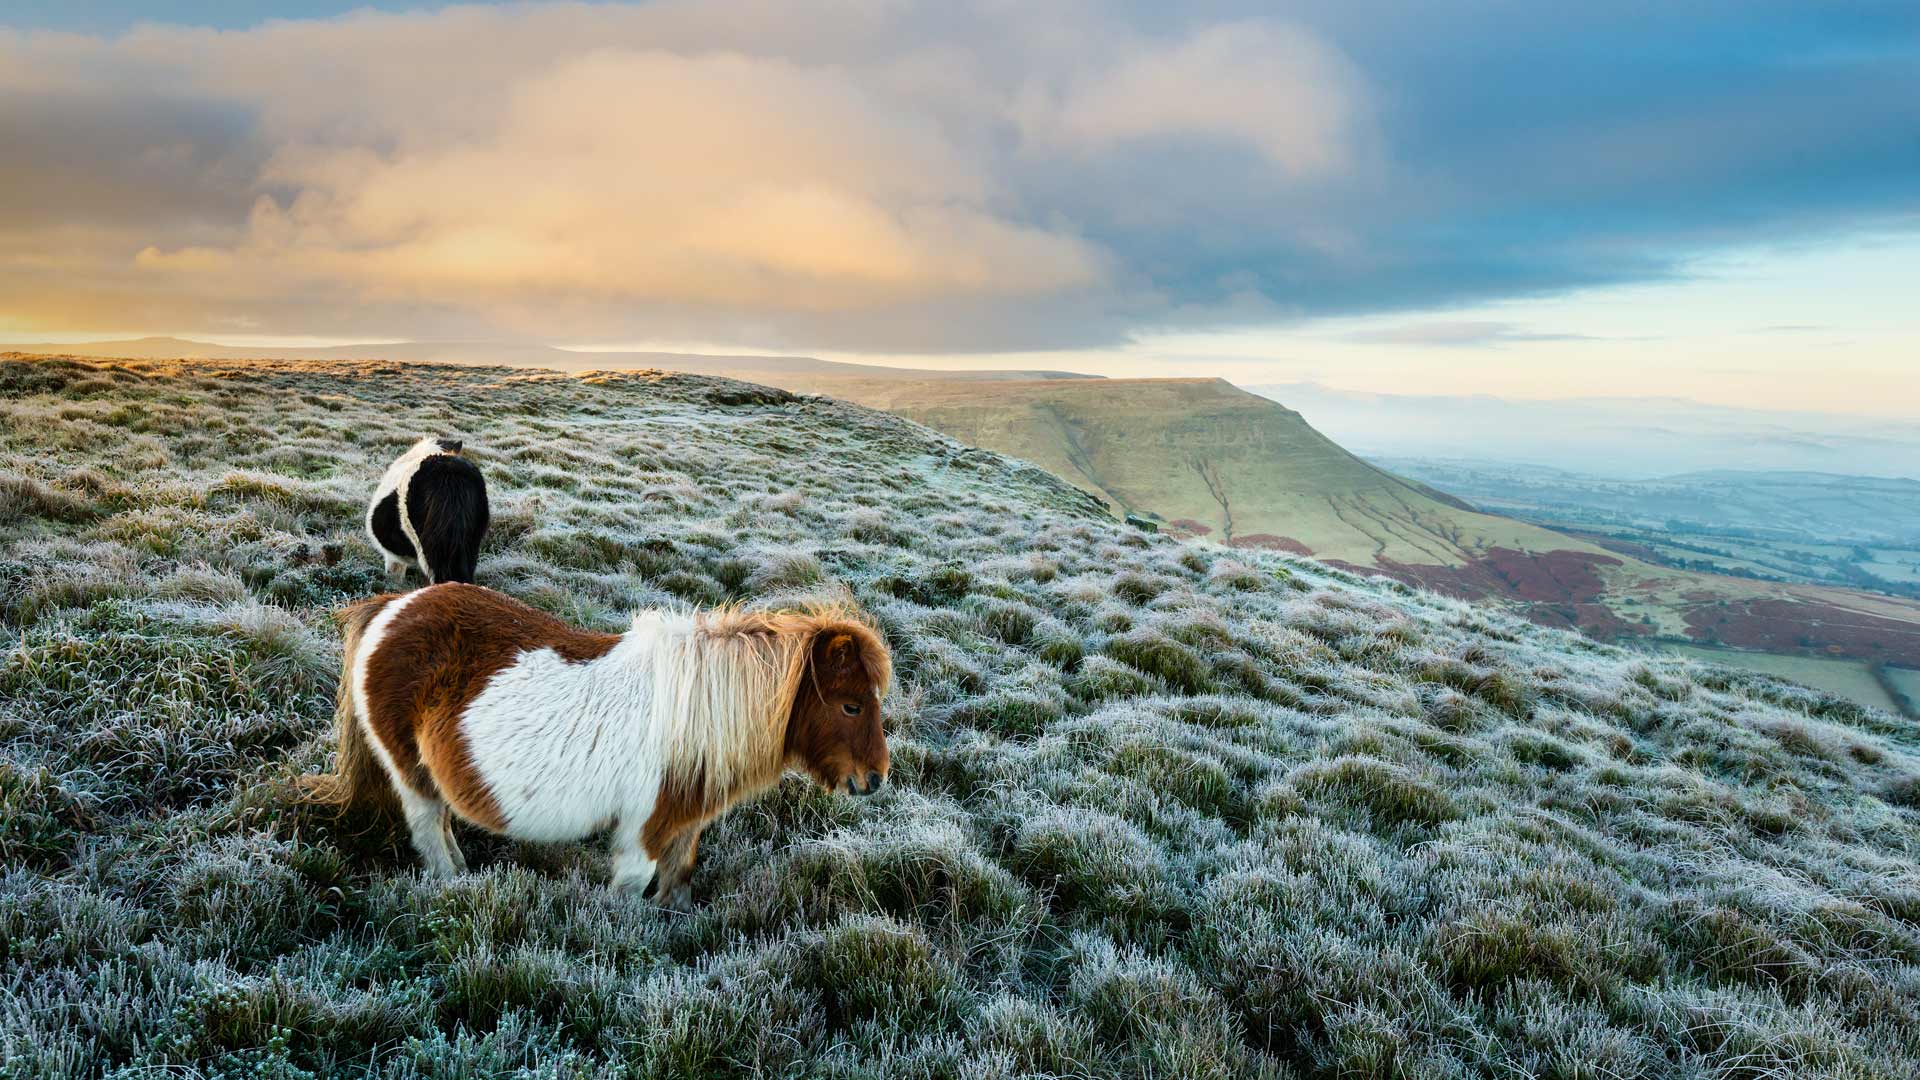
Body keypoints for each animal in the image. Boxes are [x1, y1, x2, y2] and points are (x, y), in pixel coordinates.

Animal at [303, 583, 891, 908]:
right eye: (851, 706)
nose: (875, 779)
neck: (697, 714)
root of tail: (392, 606)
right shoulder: (644, 830)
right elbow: (629, 893)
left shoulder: (684, 823)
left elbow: (678, 885)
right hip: (411, 774)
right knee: (428, 831)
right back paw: (456, 886)